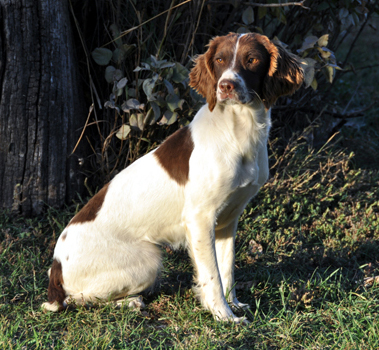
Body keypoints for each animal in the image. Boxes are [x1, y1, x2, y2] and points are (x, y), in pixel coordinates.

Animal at [42, 32, 302, 322]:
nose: (226, 86)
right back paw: (129, 302)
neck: (238, 132)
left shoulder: (228, 219)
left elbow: (227, 269)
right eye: (220, 60)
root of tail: (56, 271)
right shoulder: (200, 218)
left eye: (252, 60)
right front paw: (223, 316)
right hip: (148, 258)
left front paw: (234, 304)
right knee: (73, 300)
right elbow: (212, 275)